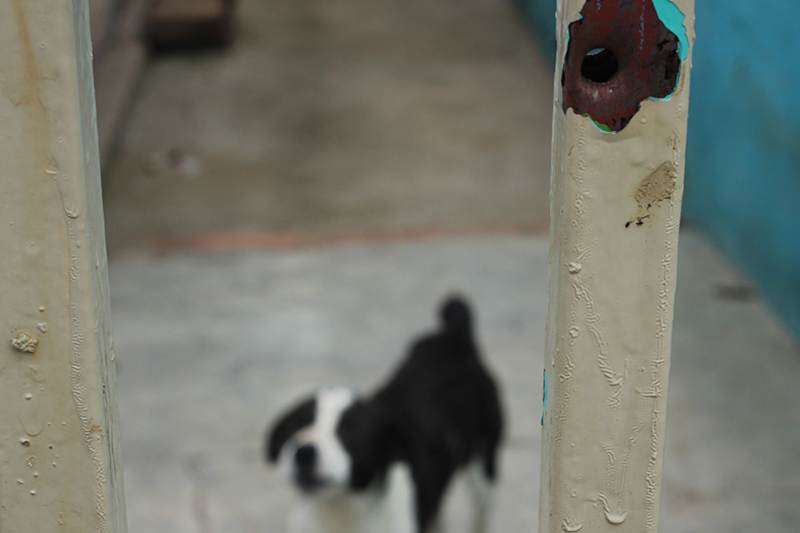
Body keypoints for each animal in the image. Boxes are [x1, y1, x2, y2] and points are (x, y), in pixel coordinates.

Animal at [266, 296, 504, 532]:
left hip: (484, 469)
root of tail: (453, 336)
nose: (304, 452)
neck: (340, 514)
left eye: (351, 432)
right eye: (293, 427)